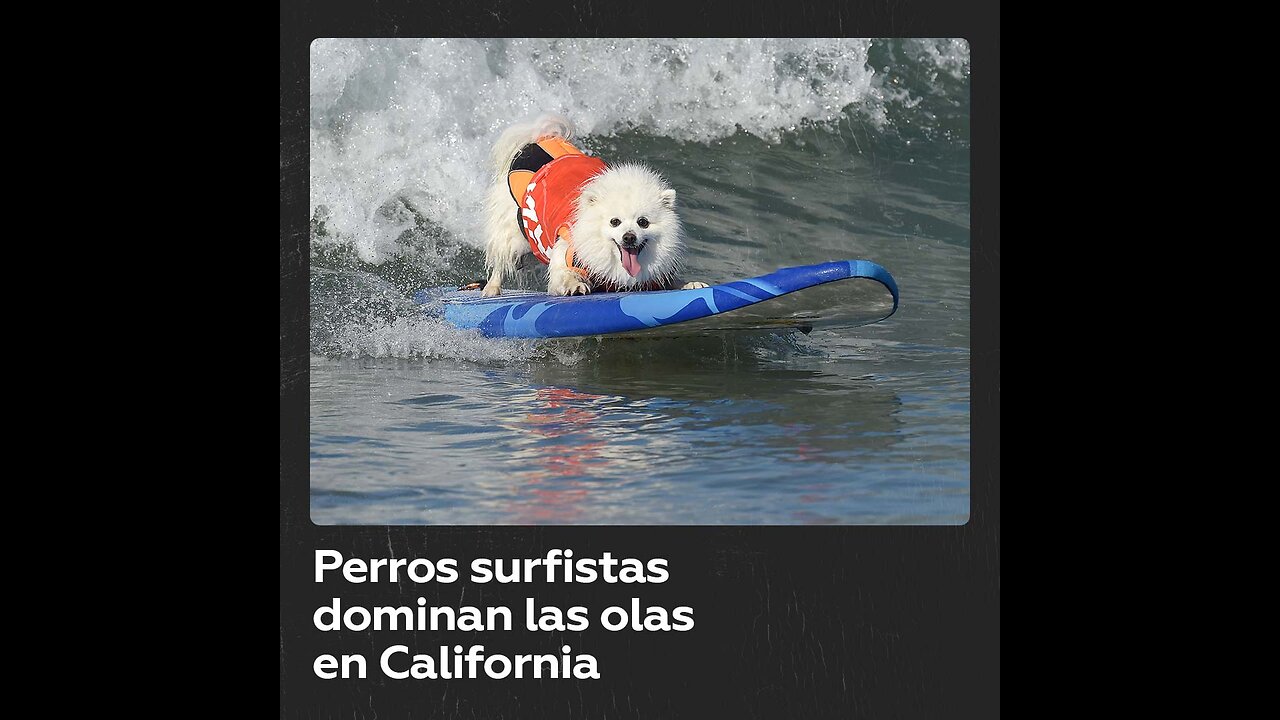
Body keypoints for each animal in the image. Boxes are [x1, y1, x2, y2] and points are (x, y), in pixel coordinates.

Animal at [478, 114, 706, 294]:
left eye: (643, 222)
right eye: (615, 222)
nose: (629, 237)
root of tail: (538, 140)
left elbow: (668, 280)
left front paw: (689, 283)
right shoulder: (567, 250)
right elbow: (562, 274)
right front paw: (575, 284)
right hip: (515, 235)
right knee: (501, 260)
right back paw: (492, 289)